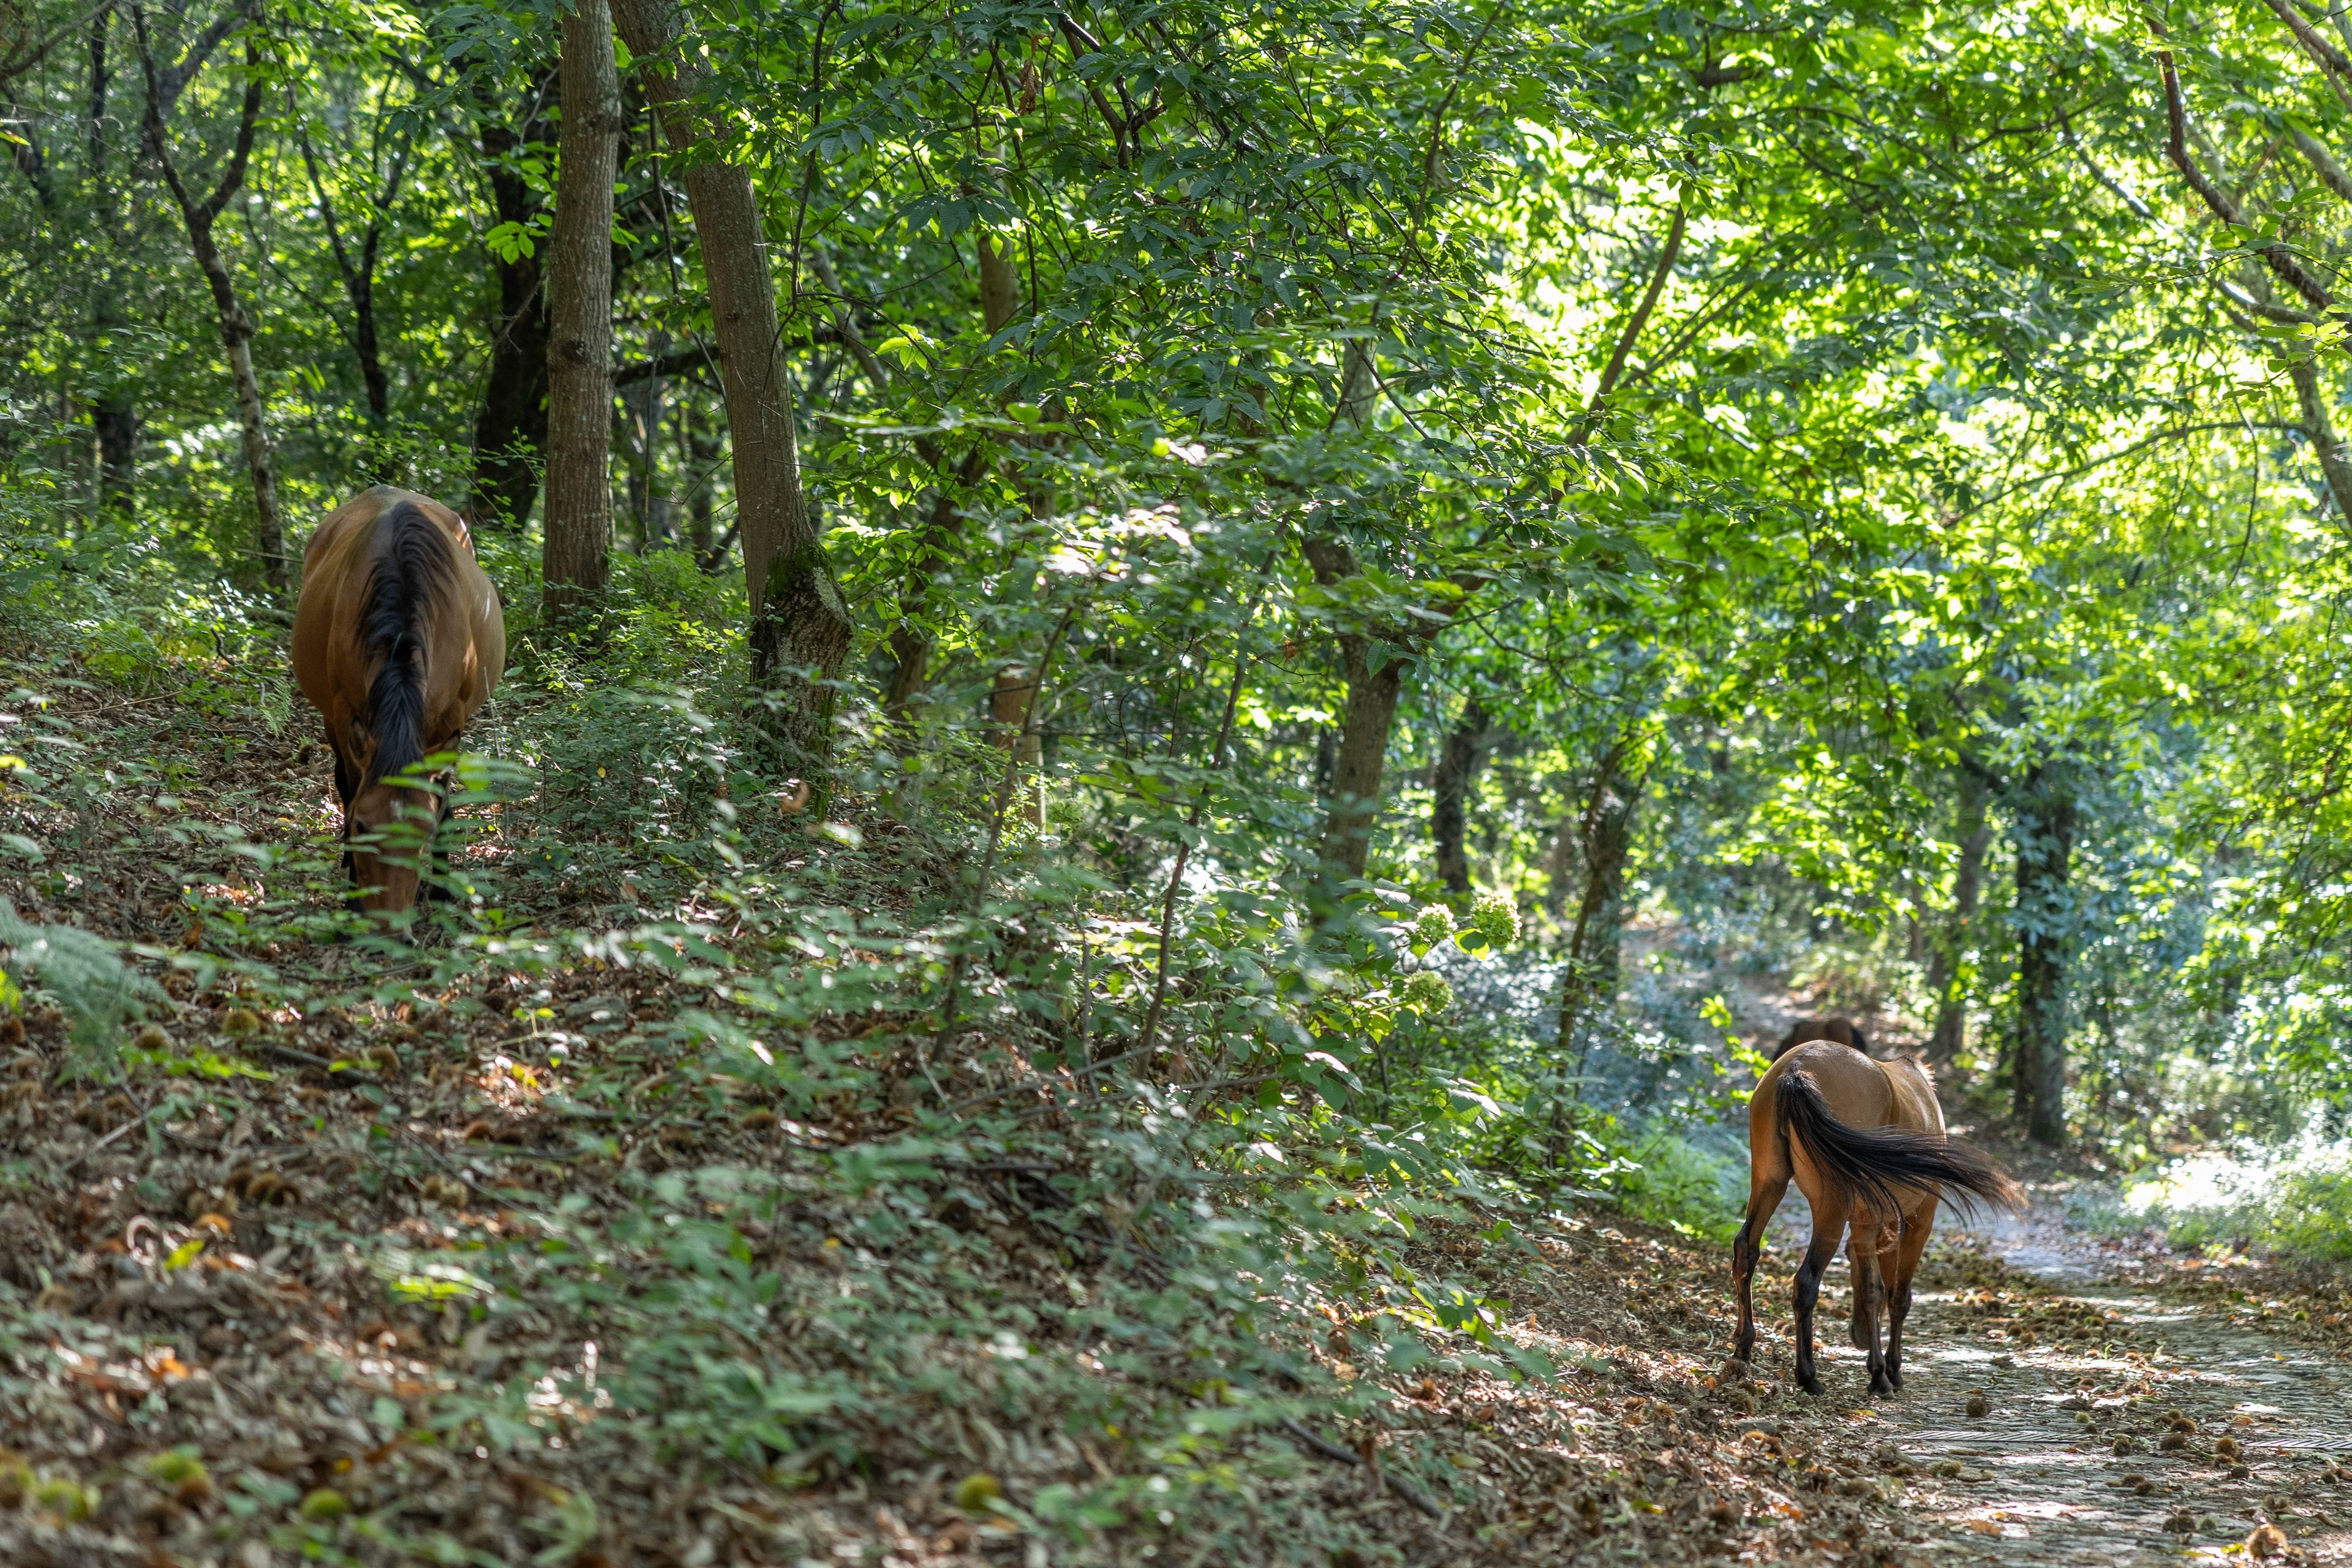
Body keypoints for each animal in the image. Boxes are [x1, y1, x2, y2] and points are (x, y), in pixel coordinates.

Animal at [291, 487, 504, 914]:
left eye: (422, 833)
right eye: (362, 825)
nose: (388, 915)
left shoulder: (450, 718)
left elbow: (441, 795)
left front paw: (439, 886)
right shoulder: (345, 713)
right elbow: (352, 788)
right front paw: (354, 890)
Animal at [1730, 1041, 2021, 1396]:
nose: (1858, 1335)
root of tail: (1796, 1068)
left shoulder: (1865, 1223)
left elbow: (1871, 1289)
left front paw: (1878, 1370)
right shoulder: (1919, 1220)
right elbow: (1896, 1295)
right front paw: (1889, 1371)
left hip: (1770, 1183)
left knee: (1746, 1251)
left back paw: (1743, 1349)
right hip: (1832, 1209)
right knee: (1806, 1282)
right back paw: (1808, 1375)